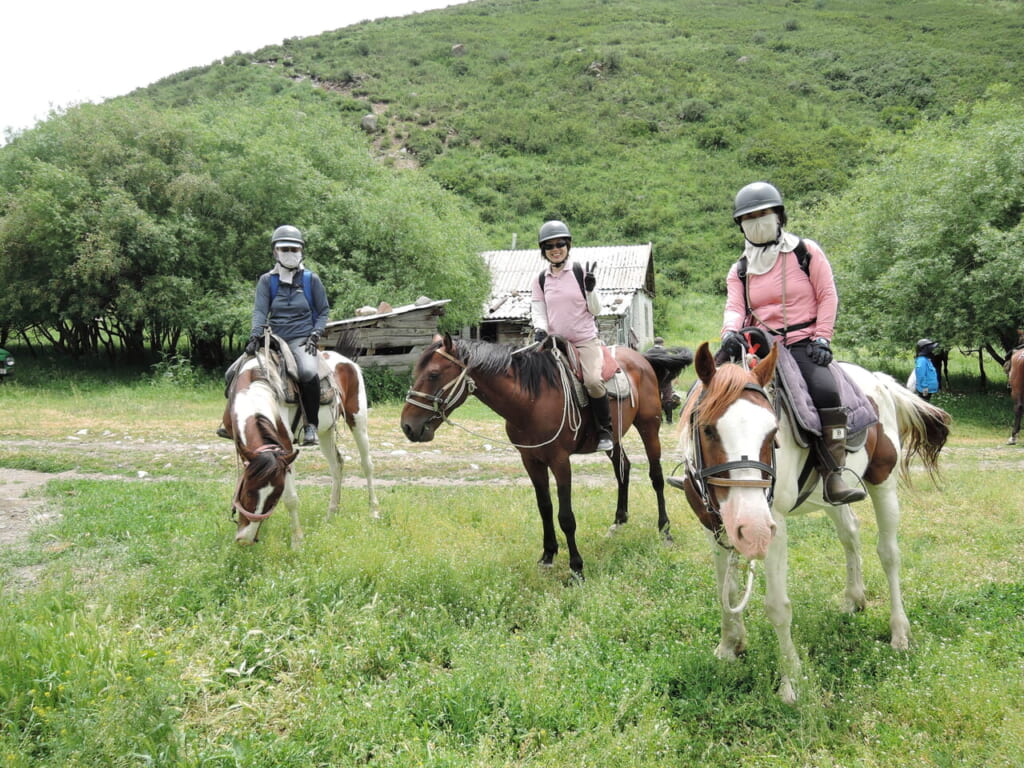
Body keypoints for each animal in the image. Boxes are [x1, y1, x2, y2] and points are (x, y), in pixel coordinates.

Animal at [226, 348, 378, 548]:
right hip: (325, 432)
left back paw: (374, 511)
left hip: (358, 420)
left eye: (274, 498)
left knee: (367, 465)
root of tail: (348, 362)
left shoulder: (286, 451)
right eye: (248, 491)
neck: (255, 390)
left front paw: (297, 541)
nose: (245, 540)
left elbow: (291, 499)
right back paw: (331, 514)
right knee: (336, 465)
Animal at [399, 333, 696, 581]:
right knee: (622, 467)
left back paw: (665, 530)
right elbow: (544, 508)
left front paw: (576, 568)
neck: (530, 400)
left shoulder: (560, 461)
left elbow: (566, 516)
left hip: (649, 427)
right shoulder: (531, 461)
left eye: (434, 374)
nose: (408, 426)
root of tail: (641, 359)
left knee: (656, 476)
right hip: (613, 438)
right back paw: (618, 522)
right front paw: (548, 556)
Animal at [671, 342, 950, 704]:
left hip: (883, 483)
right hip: (833, 495)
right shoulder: (715, 526)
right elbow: (726, 593)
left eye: (773, 433)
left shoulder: (774, 526)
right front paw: (729, 648)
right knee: (850, 533)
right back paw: (854, 598)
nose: (753, 528)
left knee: (889, 555)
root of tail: (879, 381)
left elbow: (778, 607)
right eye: (707, 429)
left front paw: (790, 682)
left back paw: (899, 632)